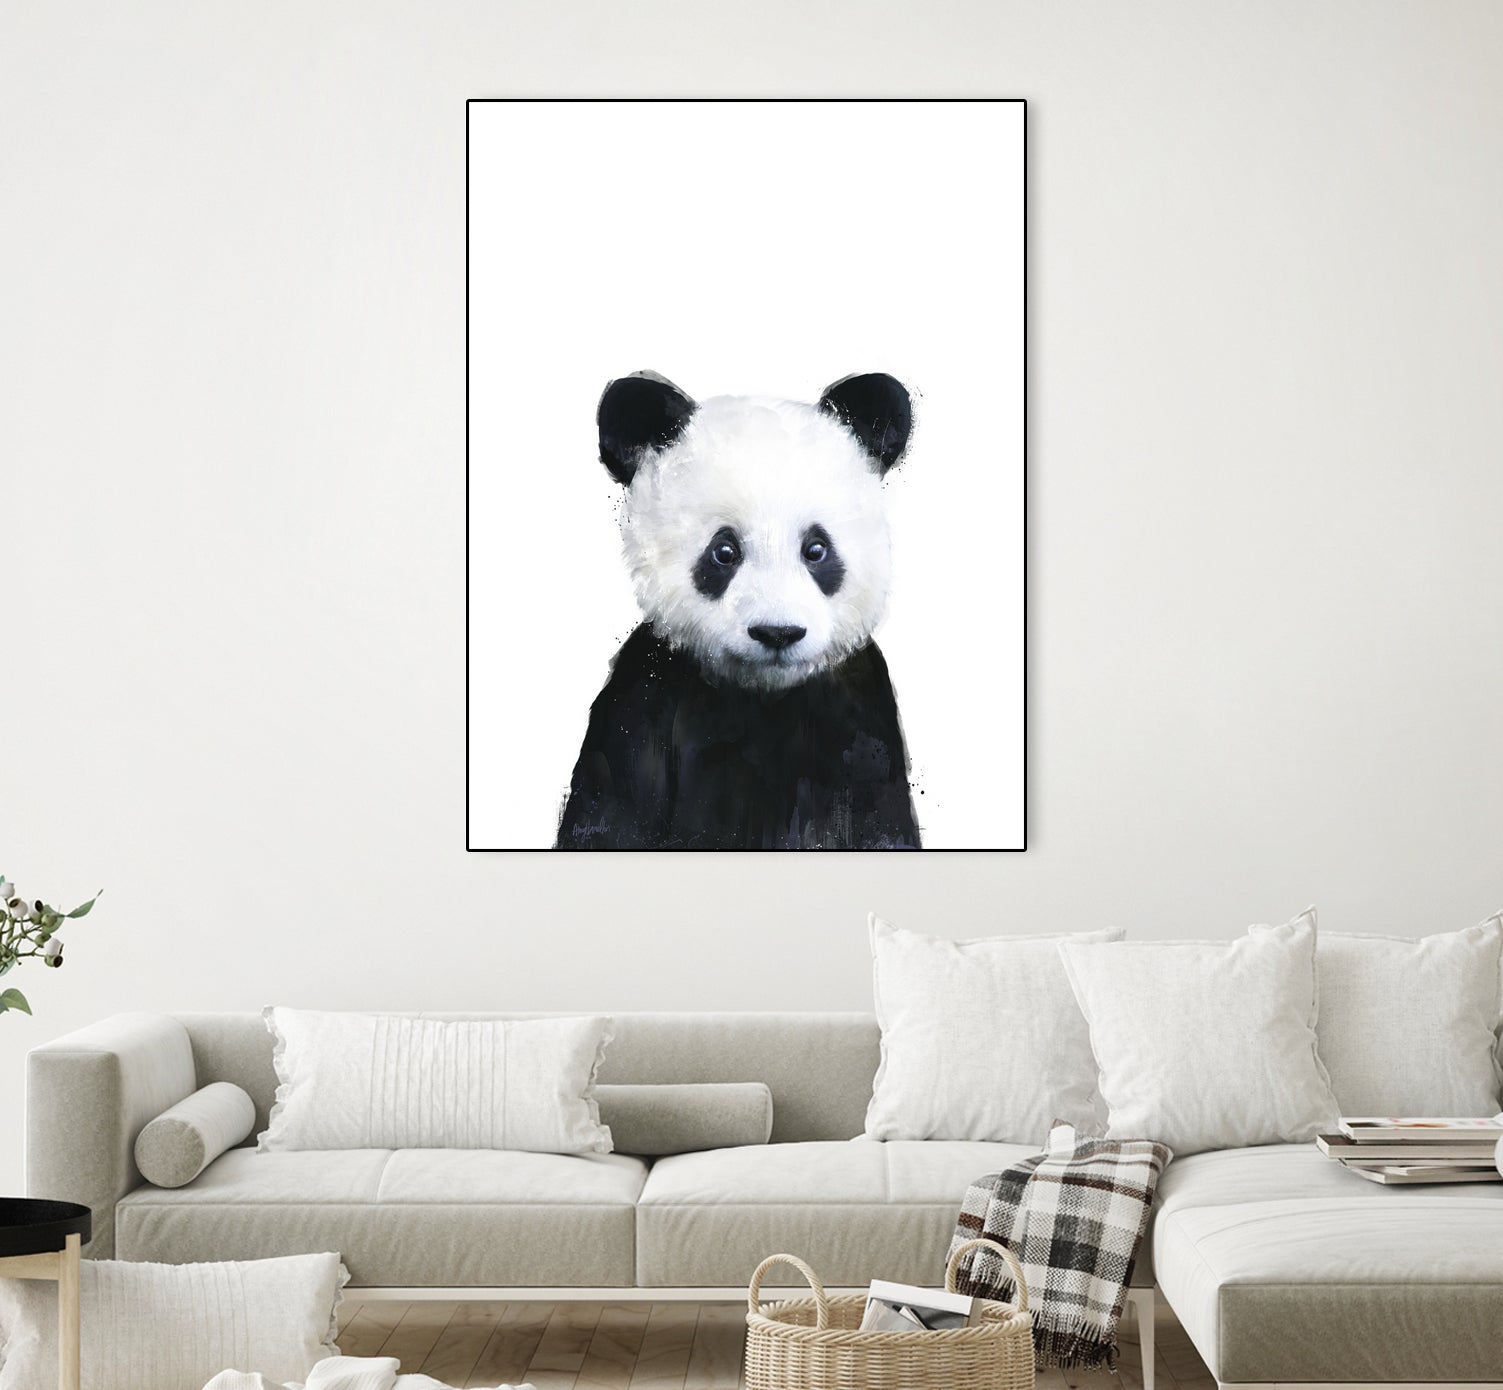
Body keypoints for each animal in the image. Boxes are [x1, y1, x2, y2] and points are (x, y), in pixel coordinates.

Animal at [555, 371, 922, 850]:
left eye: (816, 549)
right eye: (724, 551)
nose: (777, 633)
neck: (763, 695)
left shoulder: (859, 714)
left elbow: (880, 821)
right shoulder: (644, 699)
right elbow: (612, 813)